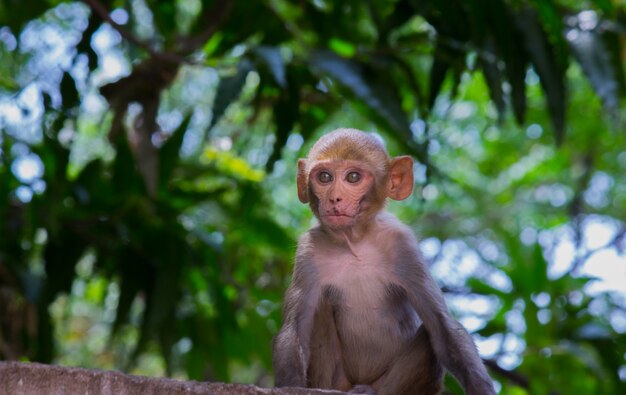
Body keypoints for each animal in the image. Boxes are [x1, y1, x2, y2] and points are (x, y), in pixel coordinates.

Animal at [270, 128, 494, 394]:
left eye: (353, 177)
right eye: (324, 177)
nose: (335, 198)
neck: (354, 244)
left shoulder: (403, 245)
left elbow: (443, 328)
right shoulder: (308, 251)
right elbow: (295, 330)